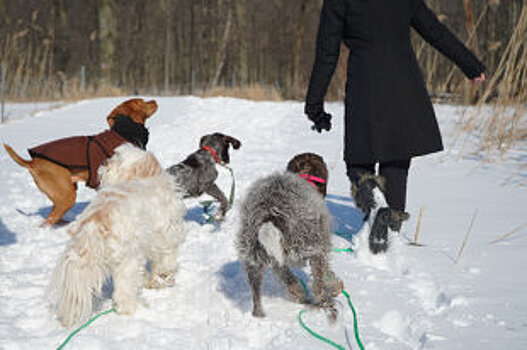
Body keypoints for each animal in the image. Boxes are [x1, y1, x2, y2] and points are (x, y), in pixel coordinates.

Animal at [2, 98, 159, 227]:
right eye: (141, 102)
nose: (155, 100)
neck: (123, 131)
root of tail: (32, 161)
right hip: (66, 195)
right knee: (48, 220)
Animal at [48, 144, 188, 326]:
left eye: (117, 158)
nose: (105, 162)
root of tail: (93, 225)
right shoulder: (165, 235)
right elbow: (165, 262)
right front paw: (163, 278)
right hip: (127, 262)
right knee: (123, 295)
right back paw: (133, 309)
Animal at [237, 171, 344, 318]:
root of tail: (270, 214)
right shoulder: (320, 249)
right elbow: (327, 272)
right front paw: (336, 287)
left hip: (253, 257)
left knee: (257, 293)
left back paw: (260, 315)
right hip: (312, 246)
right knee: (318, 287)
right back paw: (326, 303)